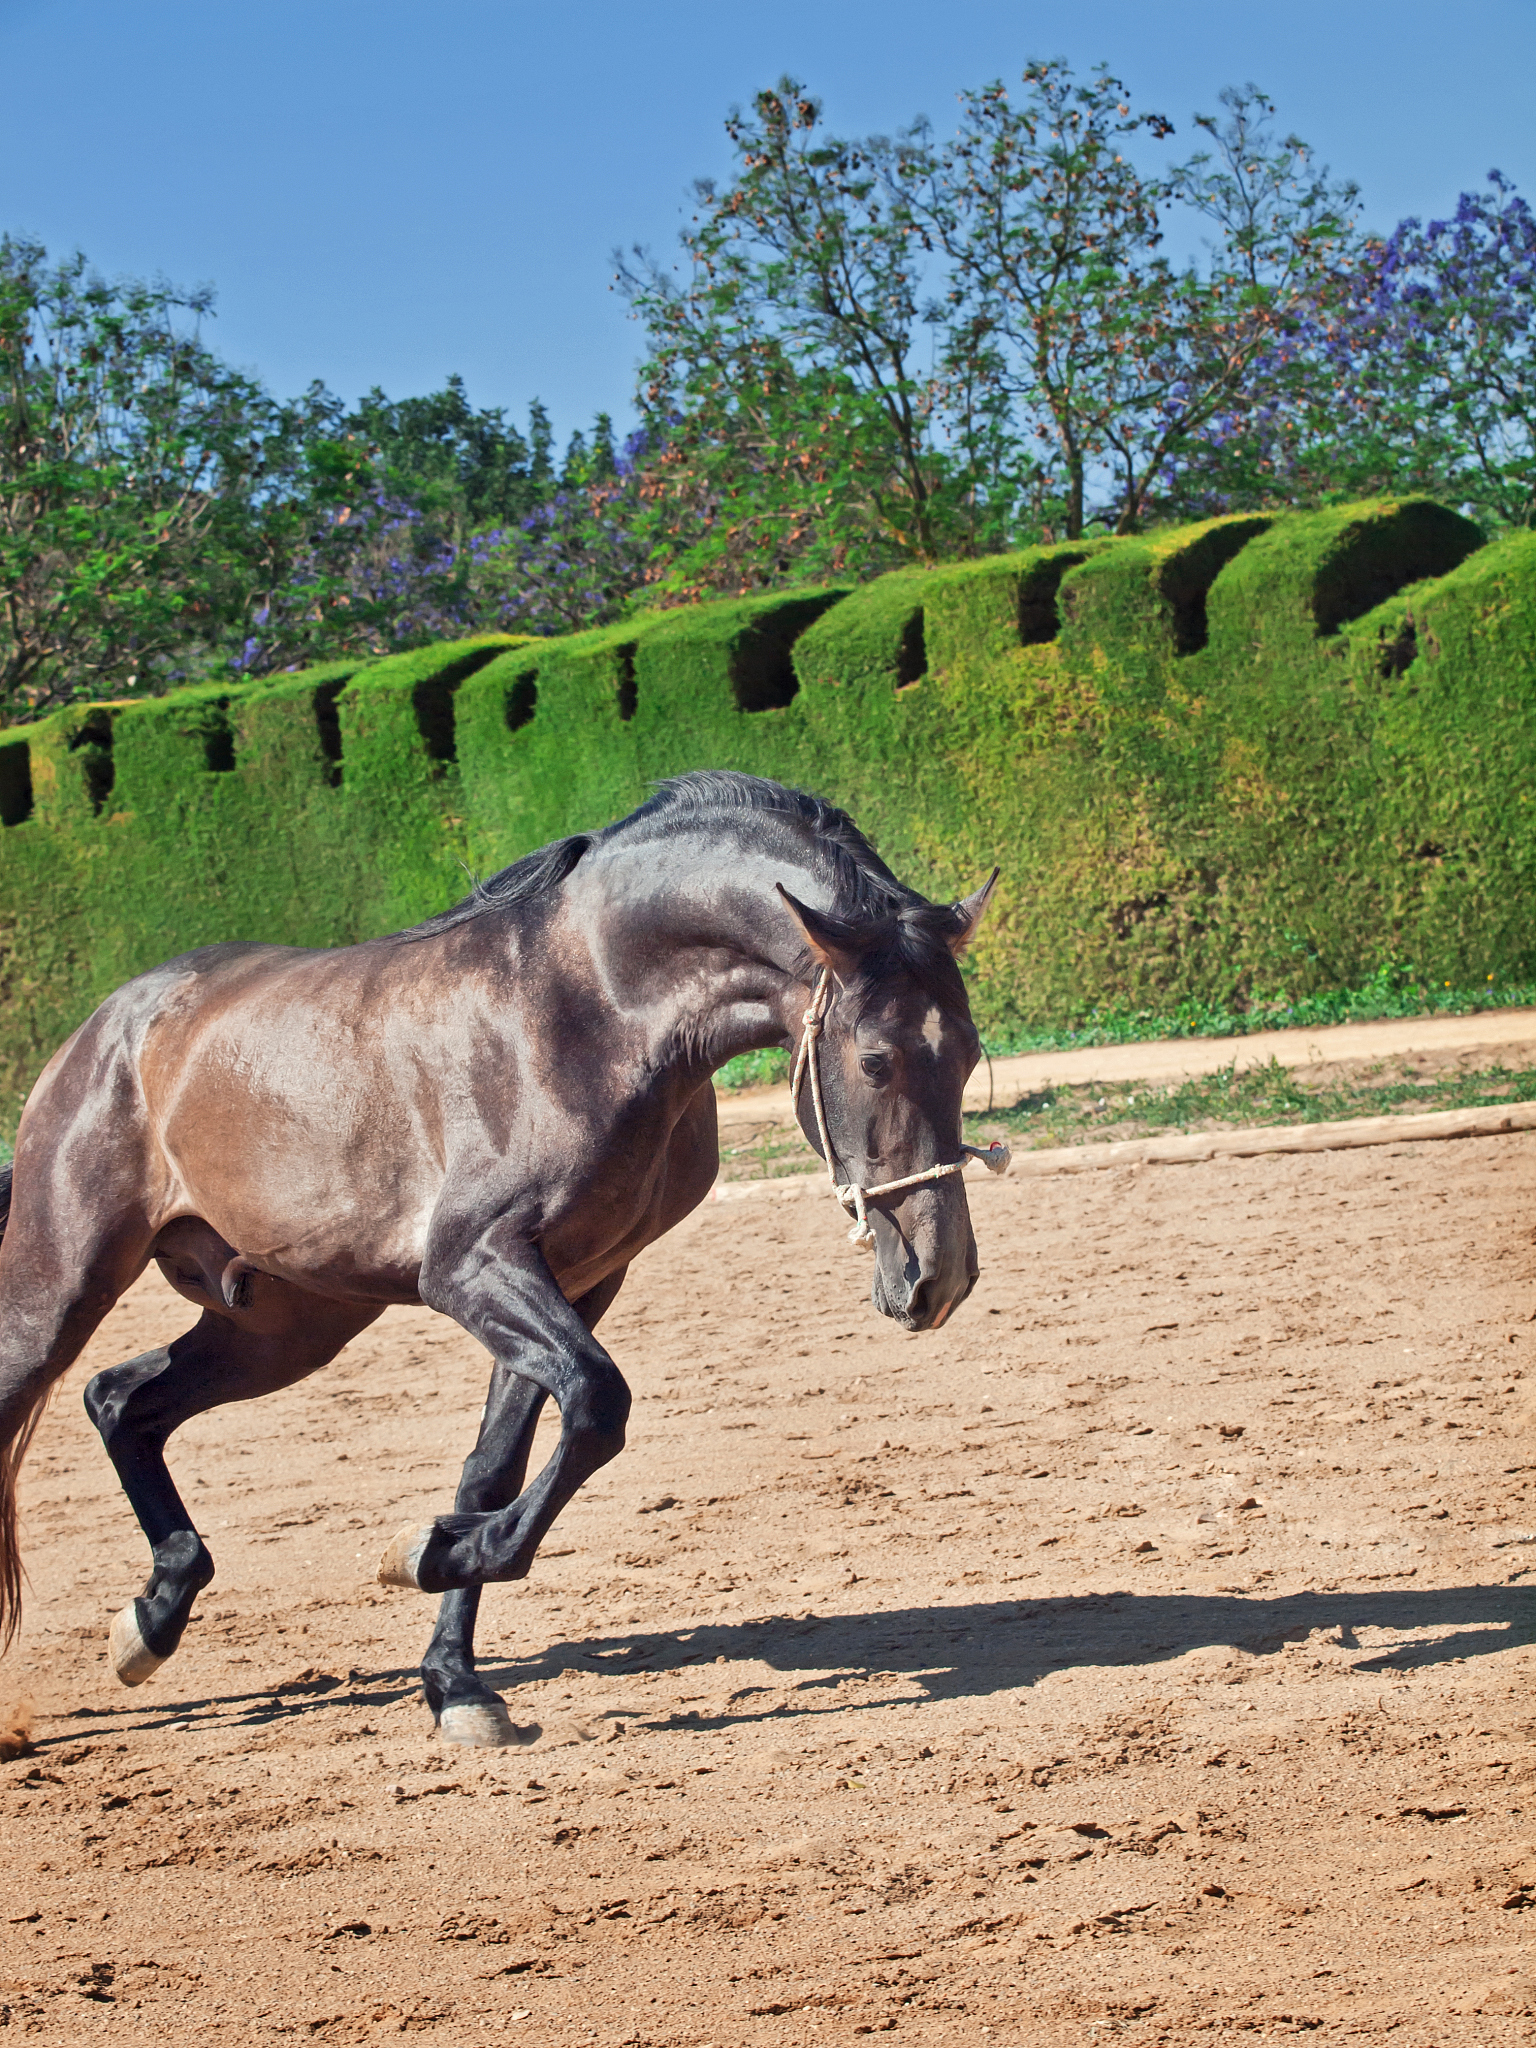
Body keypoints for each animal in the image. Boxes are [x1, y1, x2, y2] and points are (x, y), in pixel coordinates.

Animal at [0, 771, 997, 1745]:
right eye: (874, 1060)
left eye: (971, 1050)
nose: (938, 1278)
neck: (585, 1010)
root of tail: (105, 1029)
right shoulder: (471, 1268)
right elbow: (598, 1402)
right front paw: (423, 1553)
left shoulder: (578, 1281)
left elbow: (500, 1467)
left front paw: (453, 1667)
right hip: (58, 1291)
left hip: (284, 1326)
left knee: (121, 1400)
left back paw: (153, 1620)